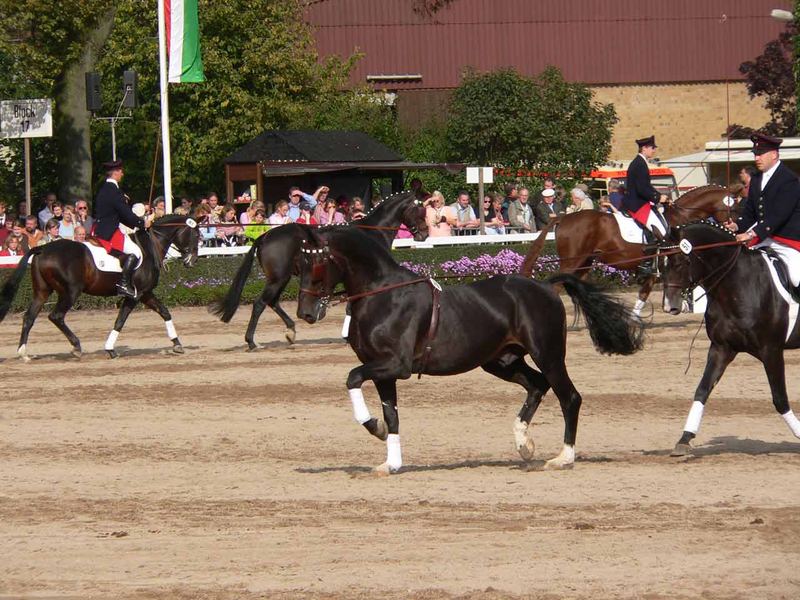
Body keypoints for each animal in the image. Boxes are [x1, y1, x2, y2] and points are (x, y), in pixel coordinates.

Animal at [0, 214, 200, 358]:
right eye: (197, 235)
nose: (192, 261)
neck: (149, 247)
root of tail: (42, 249)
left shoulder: (145, 293)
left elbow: (164, 312)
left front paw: (177, 344)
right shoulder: (135, 295)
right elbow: (120, 321)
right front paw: (110, 349)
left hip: (42, 292)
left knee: (29, 317)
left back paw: (23, 352)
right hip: (70, 292)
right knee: (56, 316)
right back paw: (76, 346)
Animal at [209, 192, 428, 350]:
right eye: (421, 210)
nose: (425, 233)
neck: (370, 232)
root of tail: (264, 237)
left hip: (282, 278)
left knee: (272, 302)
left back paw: (290, 331)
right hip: (278, 278)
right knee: (260, 304)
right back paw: (252, 341)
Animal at [296, 225, 644, 474]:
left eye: (318, 262)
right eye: (300, 261)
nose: (306, 313)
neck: (383, 294)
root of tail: (545, 285)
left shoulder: (395, 365)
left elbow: (353, 378)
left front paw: (374, 428)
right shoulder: (383, 371)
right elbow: (391, 414)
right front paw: (390, 461)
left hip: (548, 354)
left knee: (568, 397)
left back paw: (563, 457)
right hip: (501, 361)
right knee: (537, 386)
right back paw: (524, 444)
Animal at [520, 186, 736, 314]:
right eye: (733, 208)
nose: (735, 228)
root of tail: (563, 217)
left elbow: (646, 295)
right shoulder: (659, 267)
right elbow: (644, 296)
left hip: (584, 263)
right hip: (572, 261)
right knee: (557, 286)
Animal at [660, 221, 800, 454]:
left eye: (681, 262)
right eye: (660, 265)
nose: (669, 306)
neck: (737, 285)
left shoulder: (771, 350)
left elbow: (780, 398)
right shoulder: (721, 348)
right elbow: (702, 390)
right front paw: (685, 439)